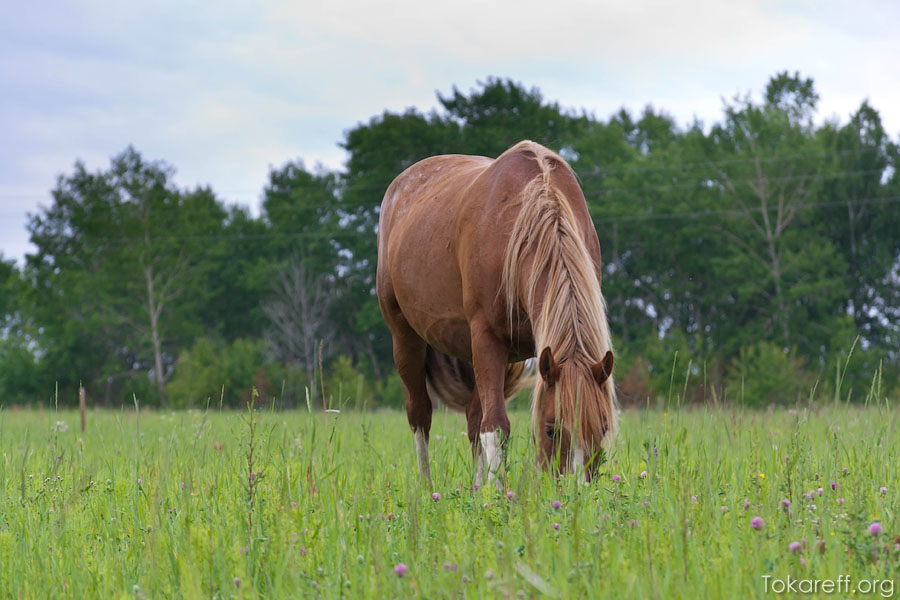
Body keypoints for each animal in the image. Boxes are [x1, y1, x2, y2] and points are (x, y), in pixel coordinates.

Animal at [374, 138, 620, 486]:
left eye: (602, 427)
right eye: (551, 429)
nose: (577, 493)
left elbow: (484, 423)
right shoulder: (487, 338)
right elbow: (496, 427)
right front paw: (497, 492)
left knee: (472, 415)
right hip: (406, 339)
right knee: (420, 413)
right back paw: (426, 486)